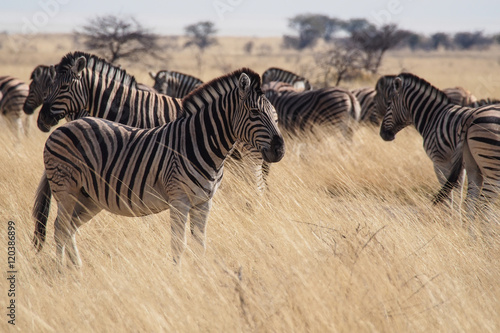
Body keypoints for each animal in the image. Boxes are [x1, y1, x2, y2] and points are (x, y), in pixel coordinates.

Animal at [32, 68, 286, 268]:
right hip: (66, 189)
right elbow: (179, 244)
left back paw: (77, 269)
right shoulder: (179, 199)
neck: (201, 144)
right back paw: (61, 271)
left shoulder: (204, 201)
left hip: (89, 197)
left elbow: (200, 243)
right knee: (60, 228)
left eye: (275, 115)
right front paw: (178, 276)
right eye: (255, 113)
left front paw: (201, 275)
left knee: (70, 228)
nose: (280, 150)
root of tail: (63, 128)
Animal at [378, 72, 500, 228]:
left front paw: (449, 220)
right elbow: (458, 192)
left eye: (389, 103)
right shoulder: (460, 166)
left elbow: (448, 193)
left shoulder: (440, 162)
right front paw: (457, 220)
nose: (383, 134)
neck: (433, 117)